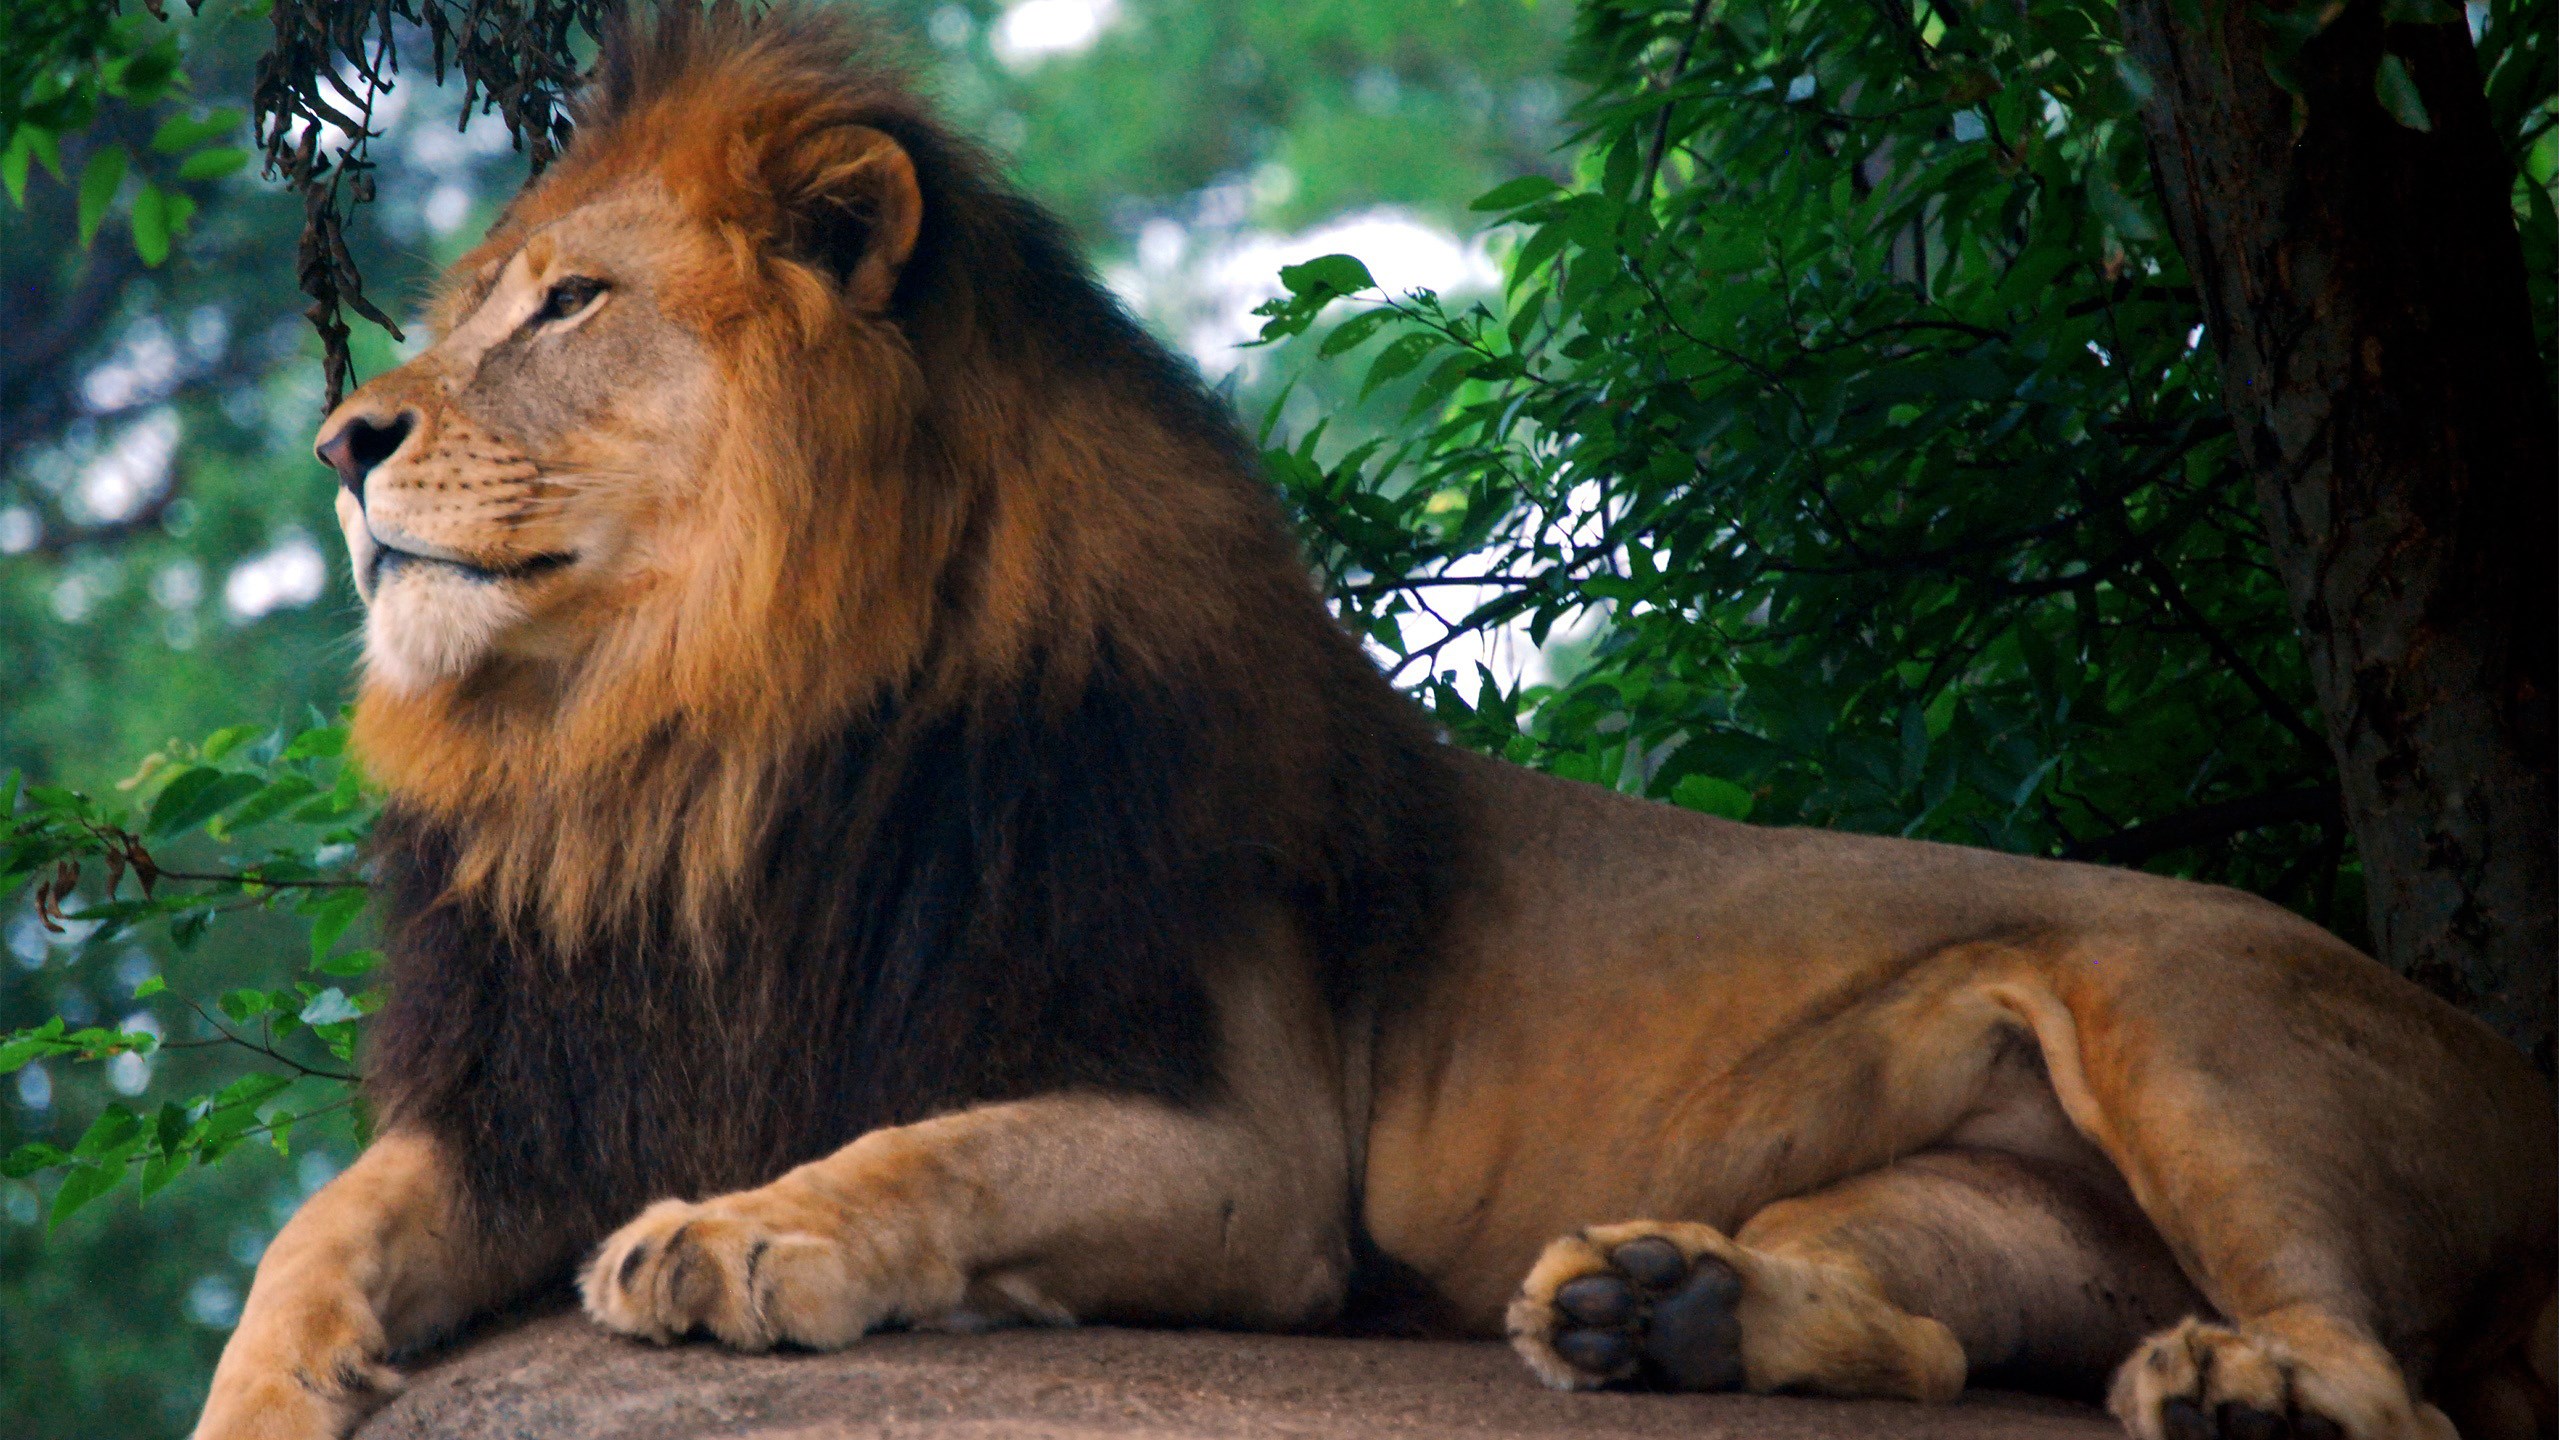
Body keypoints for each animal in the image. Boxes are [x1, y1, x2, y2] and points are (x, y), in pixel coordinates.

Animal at [193, 9, 2553, 1440]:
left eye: (570, 303)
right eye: (463, 303)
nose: (343, 437)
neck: (685, 748)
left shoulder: (1251, 1161)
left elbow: (938, 1147)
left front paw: (744, 1233)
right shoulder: (560, 1089)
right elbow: (313, 1243)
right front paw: (270, 1389)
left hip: (2184, 1028)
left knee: (2390, 1383)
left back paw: (2243, 1384)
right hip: (1985, 1197)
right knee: (1913, 1327)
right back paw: (1661, 1313)